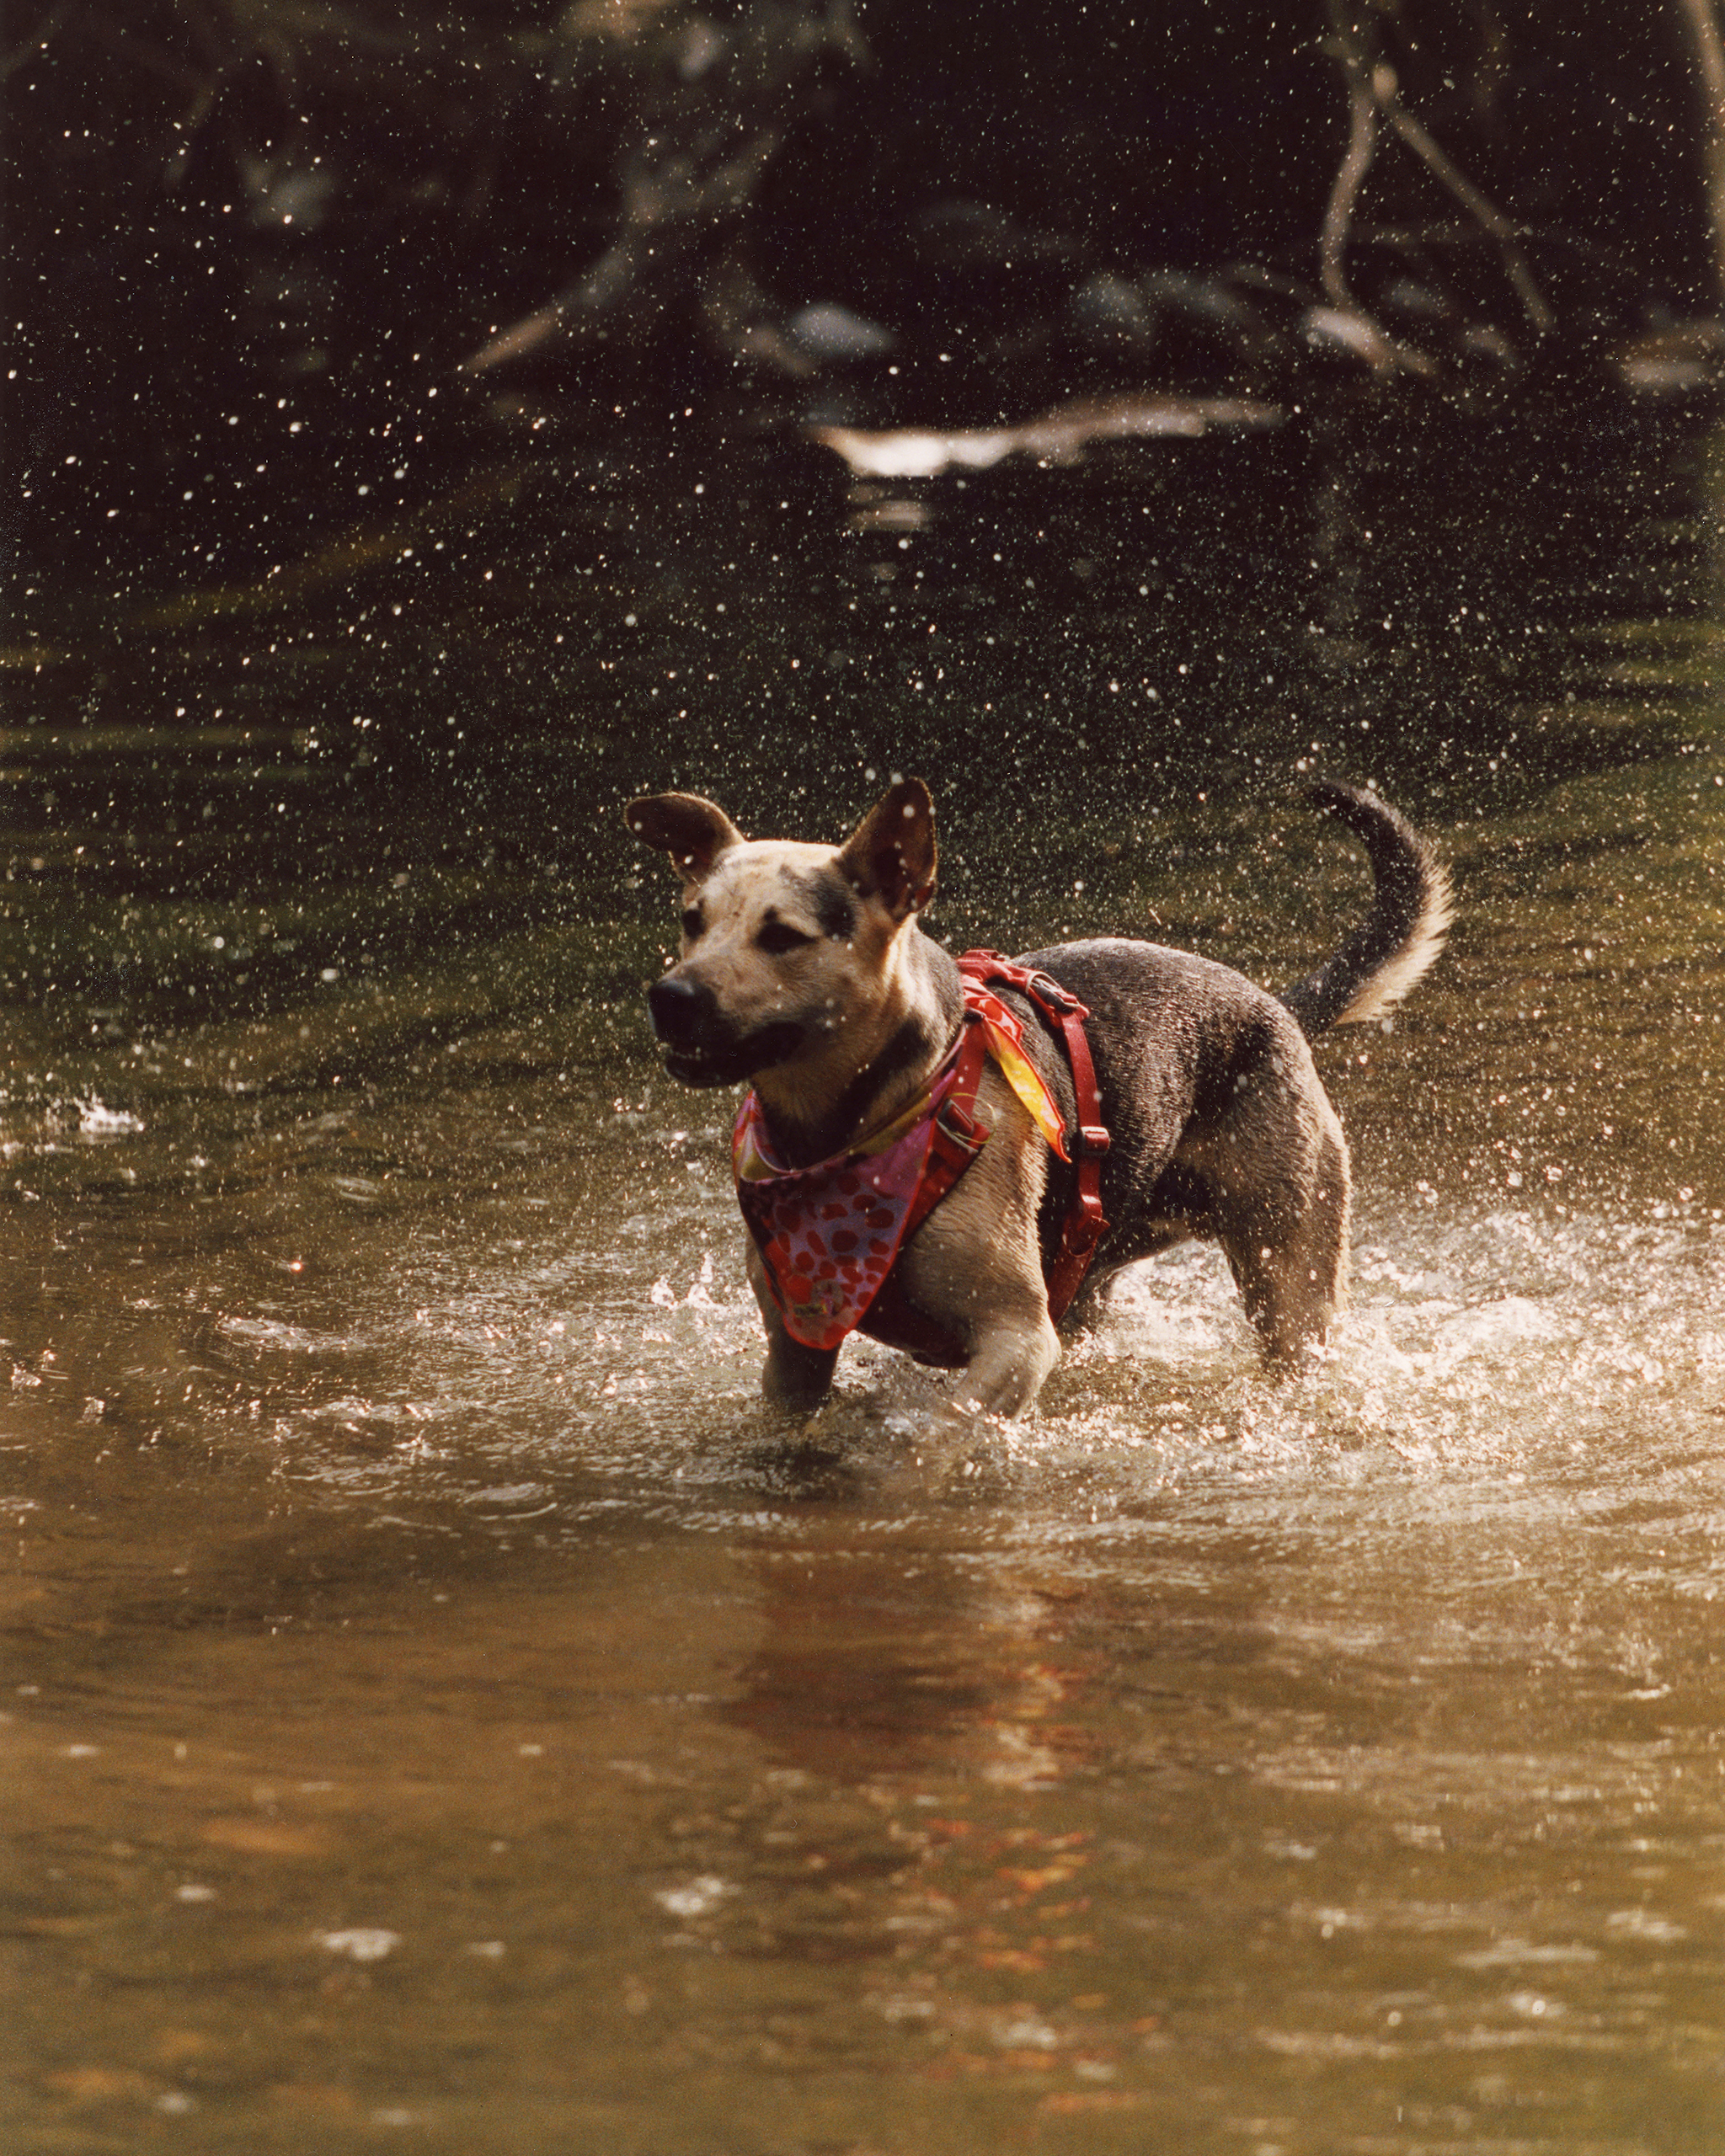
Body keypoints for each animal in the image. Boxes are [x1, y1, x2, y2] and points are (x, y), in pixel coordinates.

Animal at [625, 776, 1449, 1414]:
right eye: (691, 921)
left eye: (783, 937)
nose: (669, 996)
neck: (857, 1125)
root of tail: (1276, 1006)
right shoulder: (794, 1352)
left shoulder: (1015, 1342)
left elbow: (931, 1441)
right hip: (1089, 1279)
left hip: (1290, 1282)